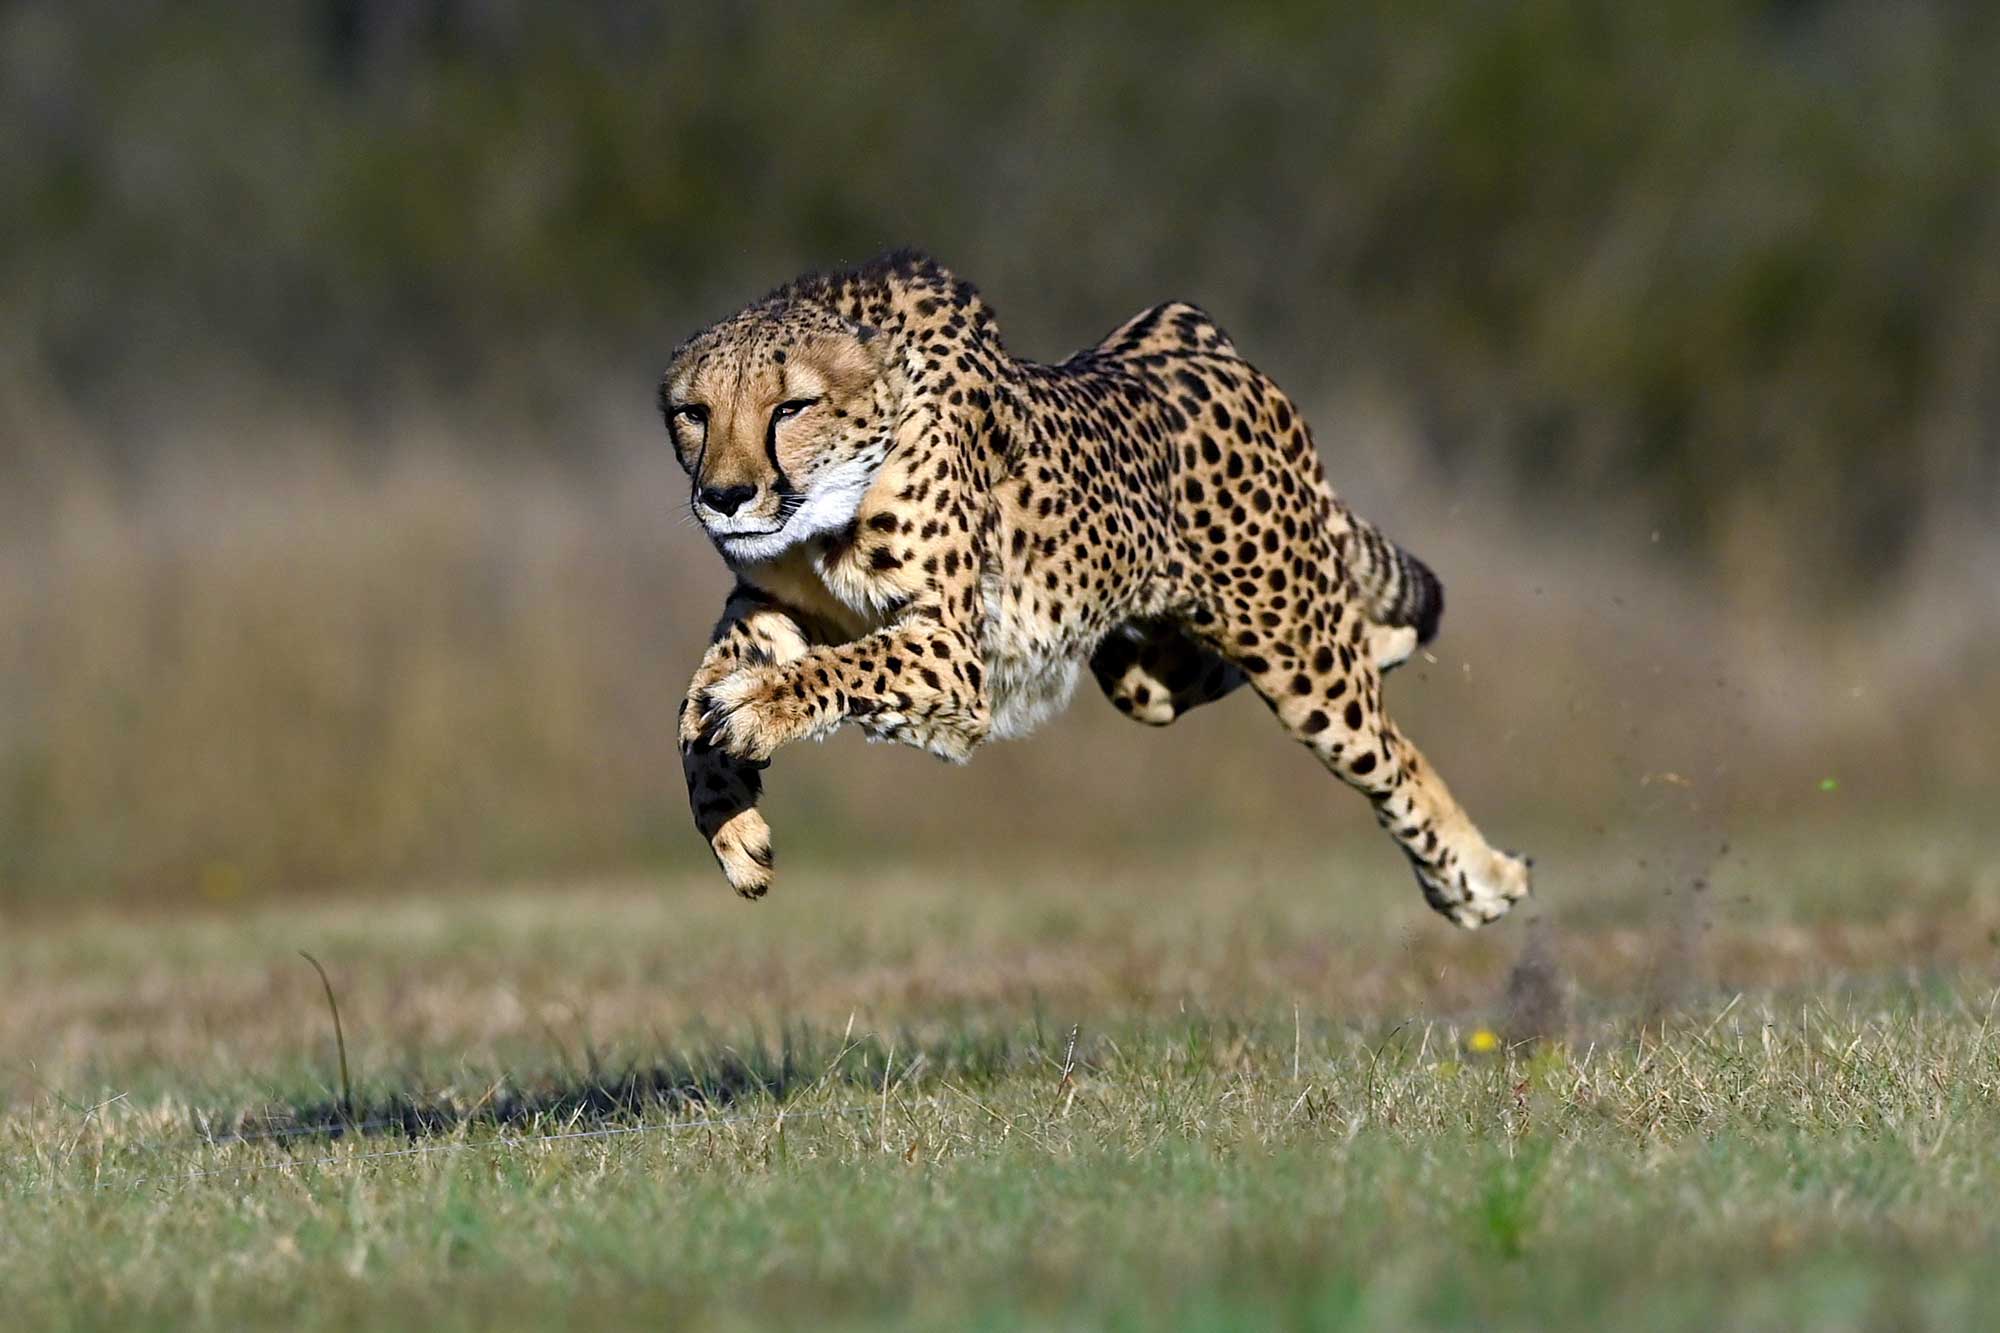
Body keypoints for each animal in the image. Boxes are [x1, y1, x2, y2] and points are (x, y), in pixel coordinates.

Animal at [660, 251, 1530, 928]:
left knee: (1392, 752)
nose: (724, 497)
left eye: (791, 407)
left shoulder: (953, 652)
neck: (824, 510)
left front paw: (757, 709)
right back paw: (1390, 643)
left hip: (1294, 650)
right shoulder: (767, 605)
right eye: (693, 413)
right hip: (1140, 671)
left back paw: (1481, 879)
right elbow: (692, 704)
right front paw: (729, 819)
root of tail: (1192, 334)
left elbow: (834, 669)